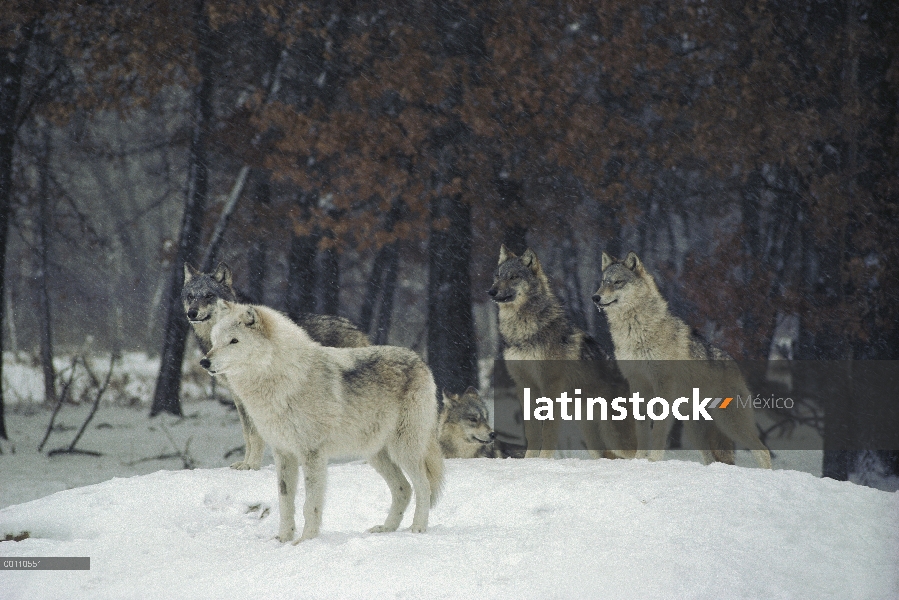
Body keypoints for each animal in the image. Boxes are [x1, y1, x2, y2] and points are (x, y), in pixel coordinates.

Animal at [182, 264, 370, 472]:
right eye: (190, 296)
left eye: (208, 295)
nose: (192, 313)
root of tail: (360, 331)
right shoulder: (239, 398)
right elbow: (248, 435)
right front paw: (245, 463)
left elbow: (256, 435)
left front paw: (252, 465)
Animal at [202, 298, 444, 540]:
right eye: (215, 341)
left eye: (234, 341)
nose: (204, 362)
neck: (285, 381)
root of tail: (419, 360)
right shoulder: (283, 453)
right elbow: (285, 502)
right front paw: (283, 539)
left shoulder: (312, 453)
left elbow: (310, 505)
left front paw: (306, 540)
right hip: (376, 455)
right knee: (404, 489)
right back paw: (386, 529)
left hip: (404, 450)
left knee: (423, 486)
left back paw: (417, 528)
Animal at [486, 246, 640, 458]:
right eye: (498, 276)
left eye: (513, 277)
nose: (491, 291)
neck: (523, 332)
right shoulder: (524, 386)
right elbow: (532, 433)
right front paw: (529, 460)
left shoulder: (551, 386)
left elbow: (548, 432)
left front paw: (544, 460)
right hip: (592, 438)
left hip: (614, 436)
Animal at [592, 252, 772, 468]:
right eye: (603, 282)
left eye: (618, 282)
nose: (595, 297)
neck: (635, 331)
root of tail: (733, 364)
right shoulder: (637, 384)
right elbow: (642, 430)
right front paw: (639, 460)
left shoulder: (663, 386)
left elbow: (658, 431)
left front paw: (653, 461)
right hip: (696, 430)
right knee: (710, 459)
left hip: (730, 423)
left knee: (763, 451)